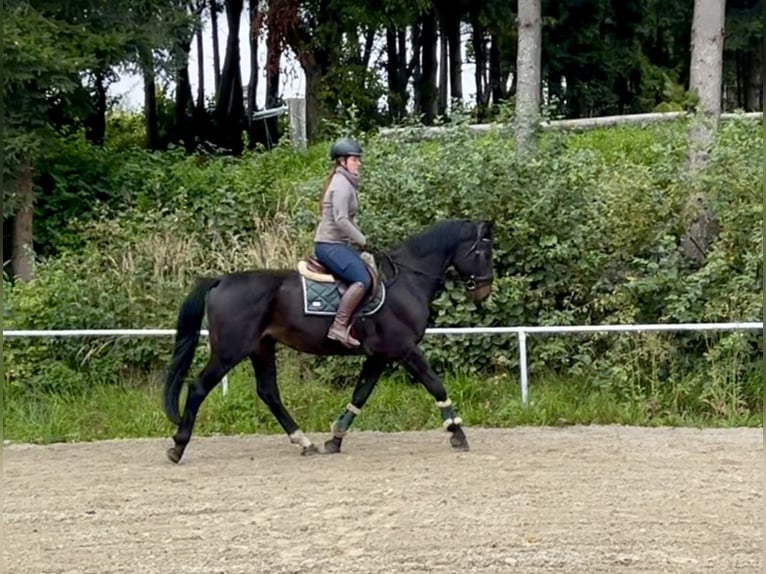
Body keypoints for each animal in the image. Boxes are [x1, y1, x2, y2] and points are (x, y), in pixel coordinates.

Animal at [162, 218, 495, 463]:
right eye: (482, 253)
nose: (484, 292)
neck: (406, 281)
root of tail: (221, 280)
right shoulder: (405, 349)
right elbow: (435, 385)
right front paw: (457, 433)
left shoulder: (379, 355)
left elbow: (360, 395)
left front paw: (335, 439)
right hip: (230, 351)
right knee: (199, 387)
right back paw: (178, 447)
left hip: (261, 348)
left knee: (269, 392)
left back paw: (304, 442)